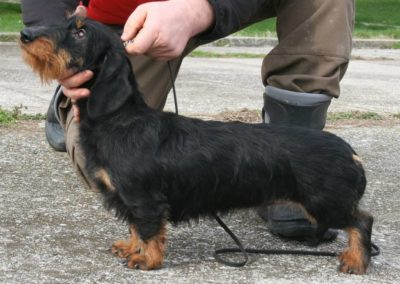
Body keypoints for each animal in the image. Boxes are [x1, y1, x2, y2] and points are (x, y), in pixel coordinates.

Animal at [20, 16, 374, 274]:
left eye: (80, 32)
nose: (24, 33)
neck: (118, 120)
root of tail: (351, 153)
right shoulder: (130, 200)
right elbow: (135, 228)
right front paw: (131, 247)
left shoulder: (143, 198)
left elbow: (148, 229)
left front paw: (146, 259)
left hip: (324, 202)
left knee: (362, 222)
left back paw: (356, 260)